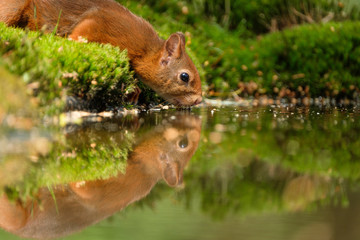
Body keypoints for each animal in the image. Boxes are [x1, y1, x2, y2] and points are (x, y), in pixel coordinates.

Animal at [0, 0, 202, 106]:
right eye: (185, 77)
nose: (199, 101)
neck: (145, 51)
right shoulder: (99, 24)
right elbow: (80, 33)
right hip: (14, 8)